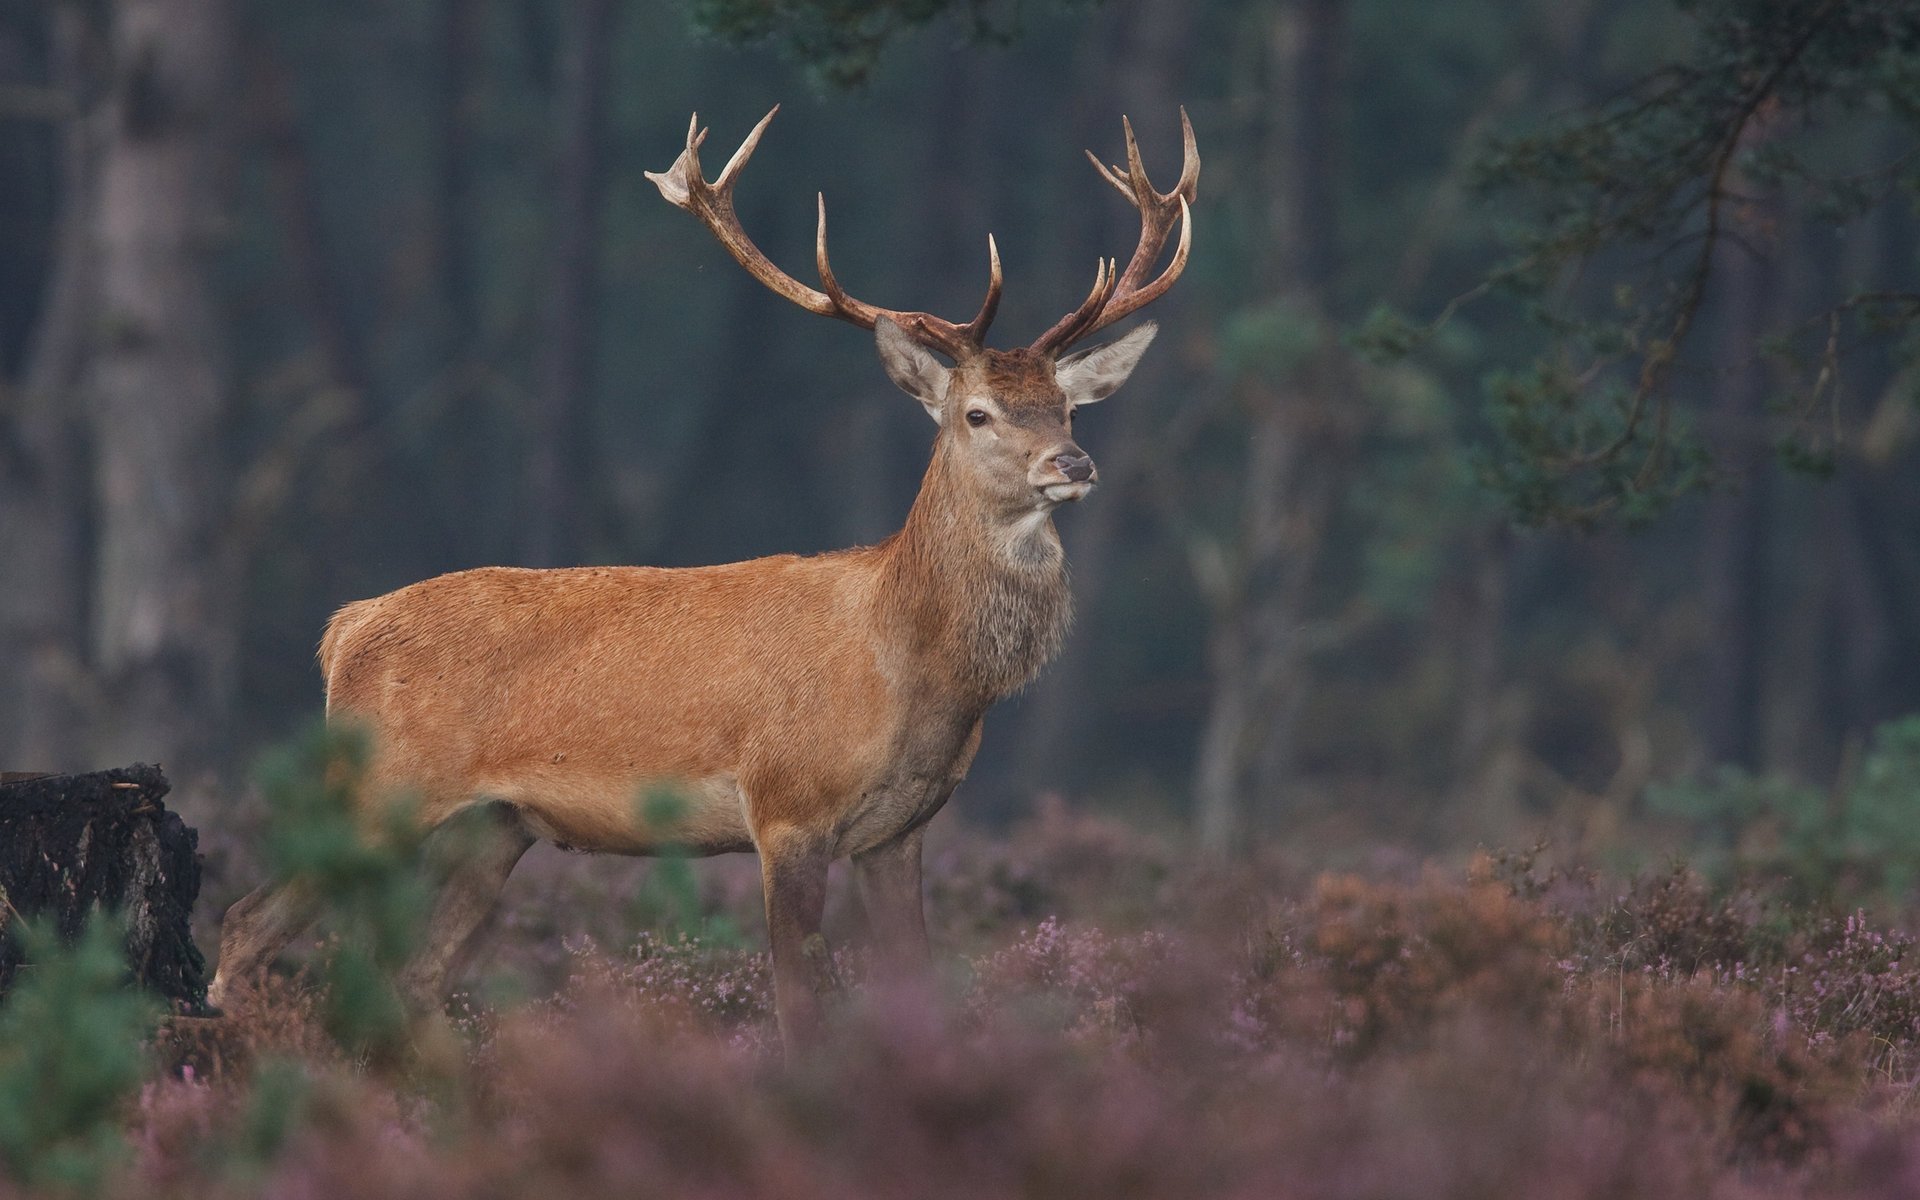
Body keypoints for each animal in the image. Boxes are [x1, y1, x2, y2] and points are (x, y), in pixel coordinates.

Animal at [208, 106, 1198, 1047]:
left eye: (1068, 406)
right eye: (978, 413)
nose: (1073, 463)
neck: (915, 669)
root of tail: (345, 628)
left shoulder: (902, 834)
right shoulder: (787, 807)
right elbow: (800, 1009)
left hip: (494, 824)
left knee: (411, 974)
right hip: (380, 786)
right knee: (247, 921)